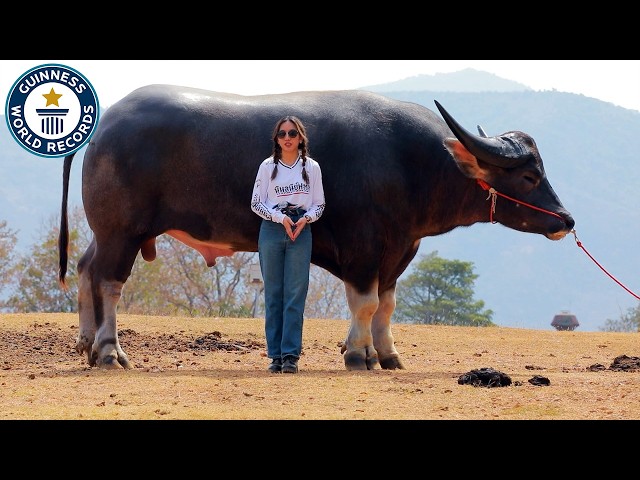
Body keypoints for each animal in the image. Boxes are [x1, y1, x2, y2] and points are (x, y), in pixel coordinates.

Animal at [56, 84, 576, 372]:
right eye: (529, 176)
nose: (566, 220)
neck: (411, 163)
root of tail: (103, 126)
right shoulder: (363, 249)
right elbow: (365, 303)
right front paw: (358, 356)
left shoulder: (397, 252)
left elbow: (386, 305)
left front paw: (387, 355)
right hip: (122, 230)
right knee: (109, 282)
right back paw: (108, 352)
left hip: (108, 232)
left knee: (85, 269)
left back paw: (84, 343)